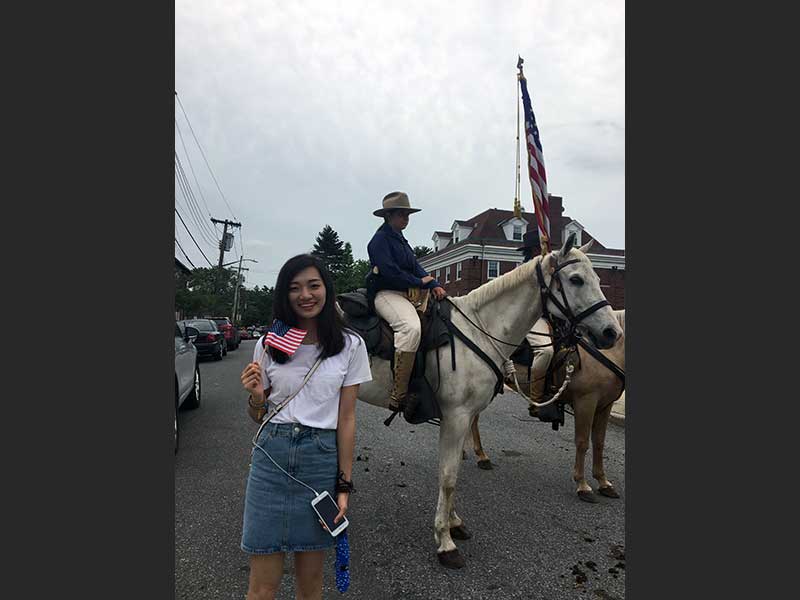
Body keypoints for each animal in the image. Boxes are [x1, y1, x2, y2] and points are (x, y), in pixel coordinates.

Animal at [354, 232, 620, 568]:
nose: (612, 332)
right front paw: (445, 542)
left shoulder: (462, 417)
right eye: (575, 279)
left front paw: (454, 522)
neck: (478, 330)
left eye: (598, 278)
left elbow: (452, 471)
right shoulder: (456, 418)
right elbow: (448, 476)